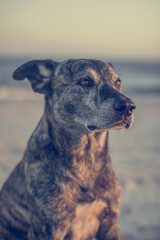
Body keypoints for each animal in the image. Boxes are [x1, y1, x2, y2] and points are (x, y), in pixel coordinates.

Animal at [0, 58, 135, 240]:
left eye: (118, 82)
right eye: (85, 81)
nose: (128, 106)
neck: (86, 158)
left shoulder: (110, 223)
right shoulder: (47, 230)